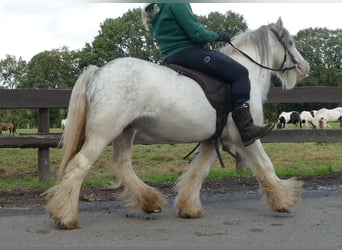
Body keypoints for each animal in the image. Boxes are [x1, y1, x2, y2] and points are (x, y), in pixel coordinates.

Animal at [43, 17, 310, 229]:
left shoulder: (212, 140)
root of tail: (99, 71)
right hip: (103, 133)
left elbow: (198, 172)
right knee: (79, 166)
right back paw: (65, 217)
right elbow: (265, 166)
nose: (304, 67)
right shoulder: (245, 137)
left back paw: (149, 201)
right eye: (290, 42)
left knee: (121, 165)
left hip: (125, 131)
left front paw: (188, 208)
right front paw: (284, 199)